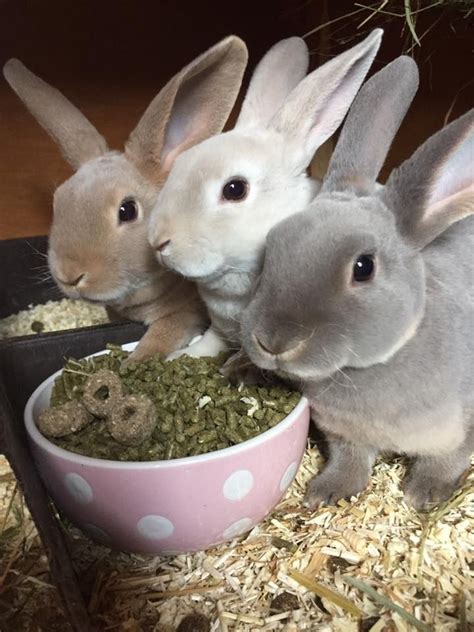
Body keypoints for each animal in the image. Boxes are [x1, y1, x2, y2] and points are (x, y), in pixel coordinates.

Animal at [3, 37, 248, 362]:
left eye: (127, 210)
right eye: (58, 201)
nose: (69, 276)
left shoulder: (185, 313)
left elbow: (160, 337)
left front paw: (134, 361)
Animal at [241, 56, 474, 512]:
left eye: (363, 267)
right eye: (273, 246)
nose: (273, 342)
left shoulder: (459, 425)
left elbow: (446, 460)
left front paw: (423, 495)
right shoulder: (343, 433)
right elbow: (349, 460)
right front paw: (326, 492)